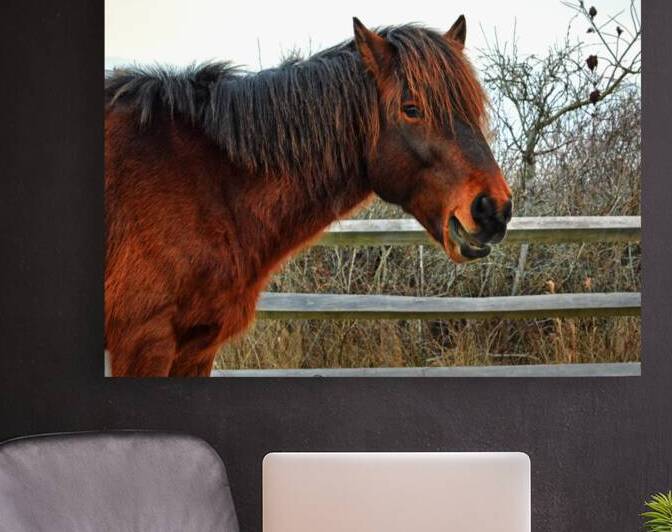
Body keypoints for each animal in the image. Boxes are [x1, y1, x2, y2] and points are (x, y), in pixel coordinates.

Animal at [104, 16, 513, 377]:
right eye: (411, 109)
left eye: (473, 109)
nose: (493, 209)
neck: (204, 183)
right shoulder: (145, 343)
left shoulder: (197, 349)